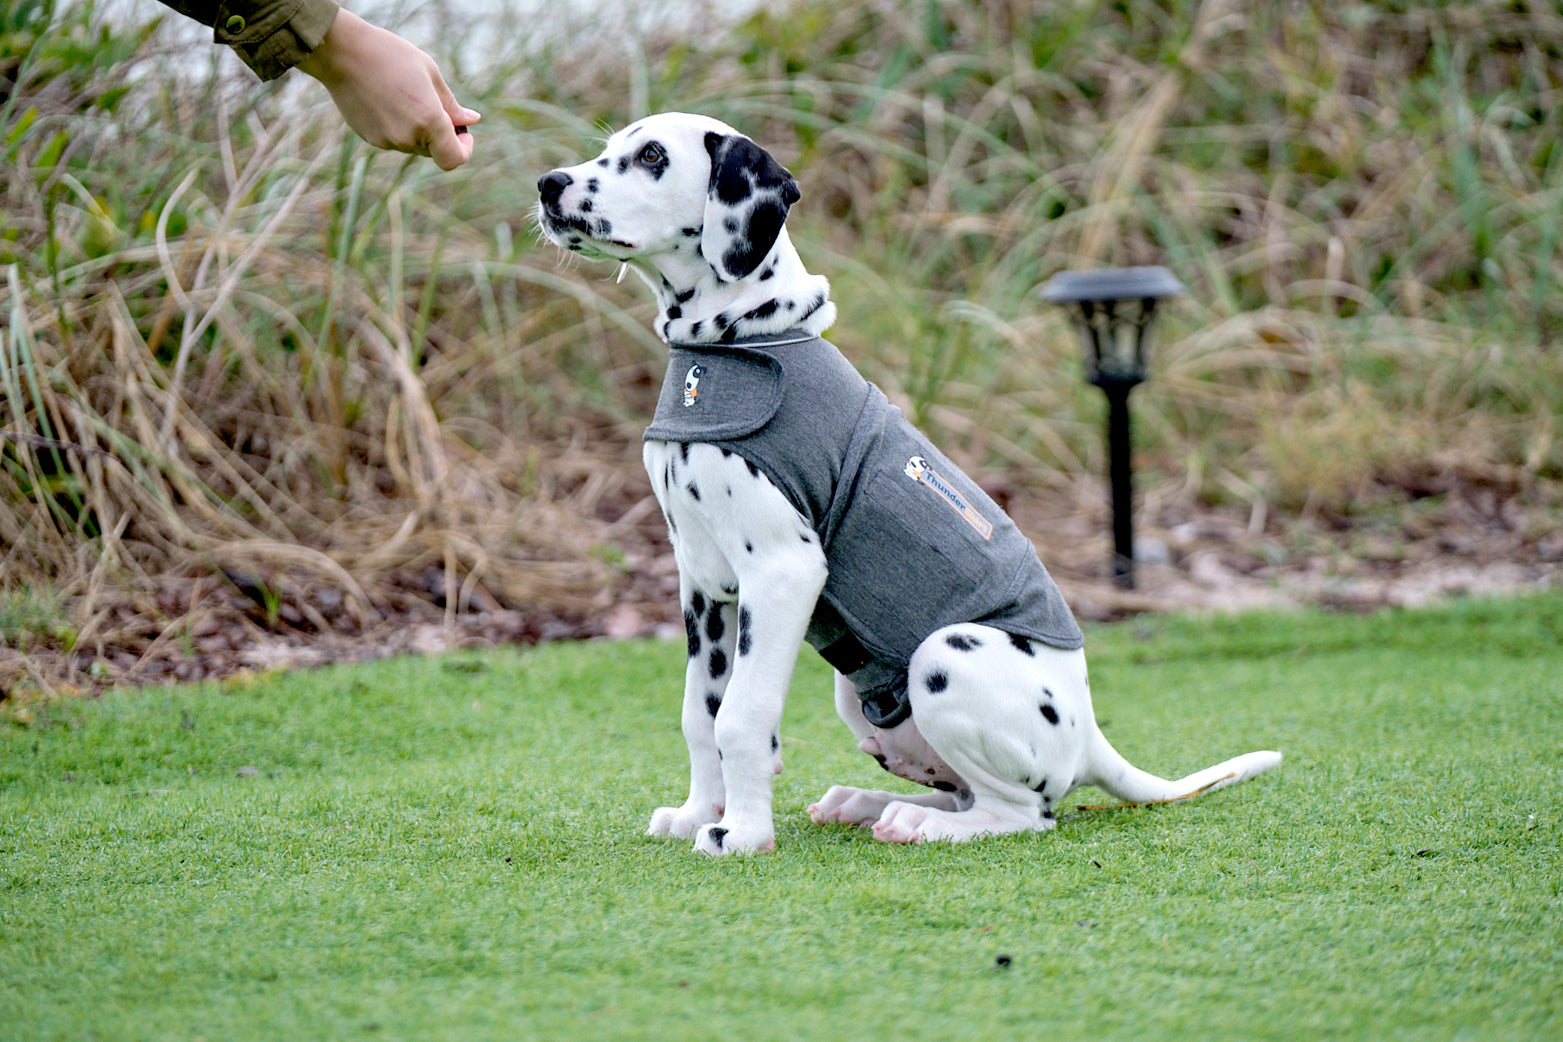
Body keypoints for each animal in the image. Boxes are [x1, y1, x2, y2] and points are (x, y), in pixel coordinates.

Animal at [531, 112, 1275, 856]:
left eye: (652, 156)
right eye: (606, 150)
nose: (548, 183)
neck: (741, 343)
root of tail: (1091, 738)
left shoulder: (782, 571)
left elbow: (740, 717)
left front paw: (740, 832)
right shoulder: (704, 584)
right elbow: (700, 714)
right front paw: (697, 814)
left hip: (944, 656)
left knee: (1023, 812)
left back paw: (924, 824)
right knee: (962, 789)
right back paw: (873, 805)